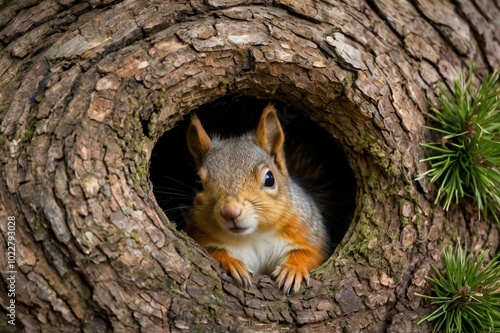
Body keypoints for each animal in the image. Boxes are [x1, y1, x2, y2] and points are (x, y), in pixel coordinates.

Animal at [186, 102, 326, 292]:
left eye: (269, 179)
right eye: (198, 182)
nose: (231, 212)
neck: (254, 235)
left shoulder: (307, 231)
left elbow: (310, 254)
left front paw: (292, 269)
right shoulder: (200, 235)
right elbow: (213, 251)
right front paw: (232, 264)